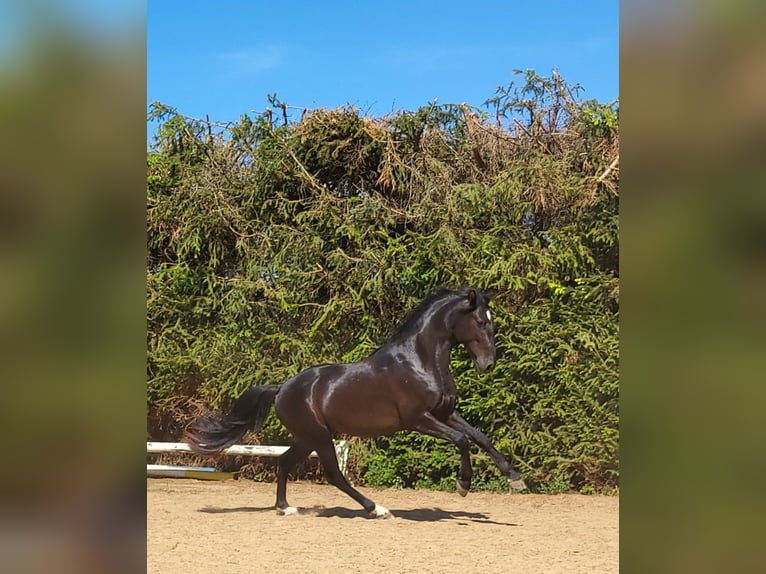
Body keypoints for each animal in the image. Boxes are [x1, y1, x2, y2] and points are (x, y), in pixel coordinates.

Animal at [184, 287, 526, 518]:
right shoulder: (418, 419)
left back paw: (286, 507)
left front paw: (515, 478)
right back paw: (377, 509)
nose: (488, 364)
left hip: (307, 437)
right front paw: (463, 485)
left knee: (284, 461)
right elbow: (462, 440)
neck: (420, 360)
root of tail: (281, 388)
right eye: (480, 322)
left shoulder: (445, 412)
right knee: (334, 475)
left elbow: (479, 437)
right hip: (319, 436)